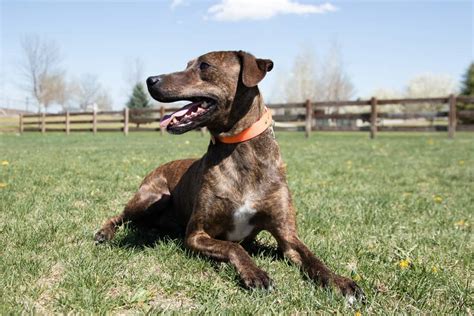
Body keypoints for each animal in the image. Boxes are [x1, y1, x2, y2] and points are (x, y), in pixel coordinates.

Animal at [94, 50, 364, 300]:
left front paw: (339, 281)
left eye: (204, 65)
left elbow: (313, 258)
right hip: (150, 197)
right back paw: (104, 233)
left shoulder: (288, 237)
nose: (150, 80)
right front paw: (256, 274)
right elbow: (234, 248)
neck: (239, 150)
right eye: (187, 64)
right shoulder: (196, 234)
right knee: (120, 216)